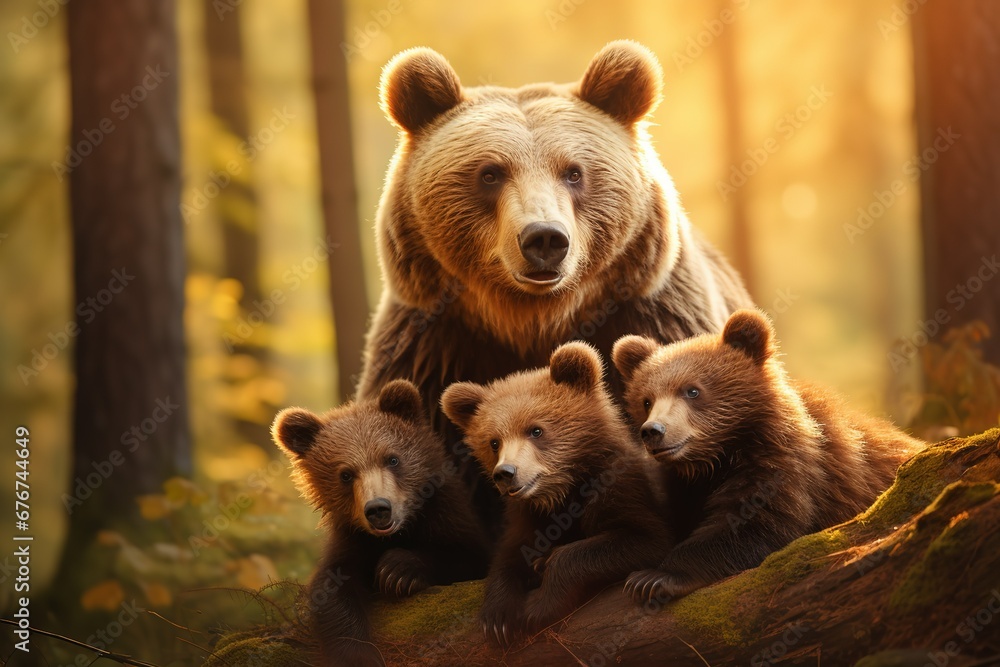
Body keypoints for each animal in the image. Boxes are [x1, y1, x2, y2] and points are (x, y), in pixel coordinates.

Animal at [271, 380, 490, 666]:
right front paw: (357, 653)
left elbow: (468, 556)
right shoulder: (352, 539)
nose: (378, 509)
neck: (398, 533)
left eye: (392, 459)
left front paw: (396, 571)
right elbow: (332, 590)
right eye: (346, 474)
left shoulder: (447, 516)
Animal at [357, 40, 753, 526]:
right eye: (490, 173)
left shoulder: (650, 316)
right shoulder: (438, 345)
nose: (544, 237)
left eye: (574, 172)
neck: (534, 318)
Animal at [440, 341, 673, 647]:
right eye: (493, 442)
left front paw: (537, 606)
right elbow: (508, 557)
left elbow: (639, 538)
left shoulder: (623, 494)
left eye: (536, 430)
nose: (506, 472)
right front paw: (498, 618)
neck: (562, 493)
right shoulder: (528, 518)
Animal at [611, 309, 925, 603]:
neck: (719, 457)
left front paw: (653, 578)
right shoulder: (683, 485)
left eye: (692, 390)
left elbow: (758, 523)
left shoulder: (788, 465)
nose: (654, 431)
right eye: (646, 400)